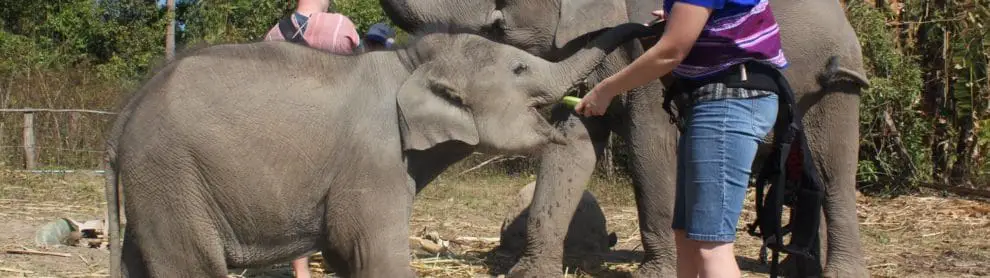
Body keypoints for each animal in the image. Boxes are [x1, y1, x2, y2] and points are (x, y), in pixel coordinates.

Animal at [102, 22, 660, 278]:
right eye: (520, 69)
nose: (649, 24)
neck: (407, 62)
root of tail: (126, 111)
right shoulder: (374, 159)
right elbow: (370, 246)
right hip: (172, 175)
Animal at [384, 1, 872, 276]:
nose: (653, 22)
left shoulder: (654, 67)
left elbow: (650, 142)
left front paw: (654, 275)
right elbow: (575, 142)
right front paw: (528, 273)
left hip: (834, 85)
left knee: (831, 172)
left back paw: (839, 273)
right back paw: (795, 270)